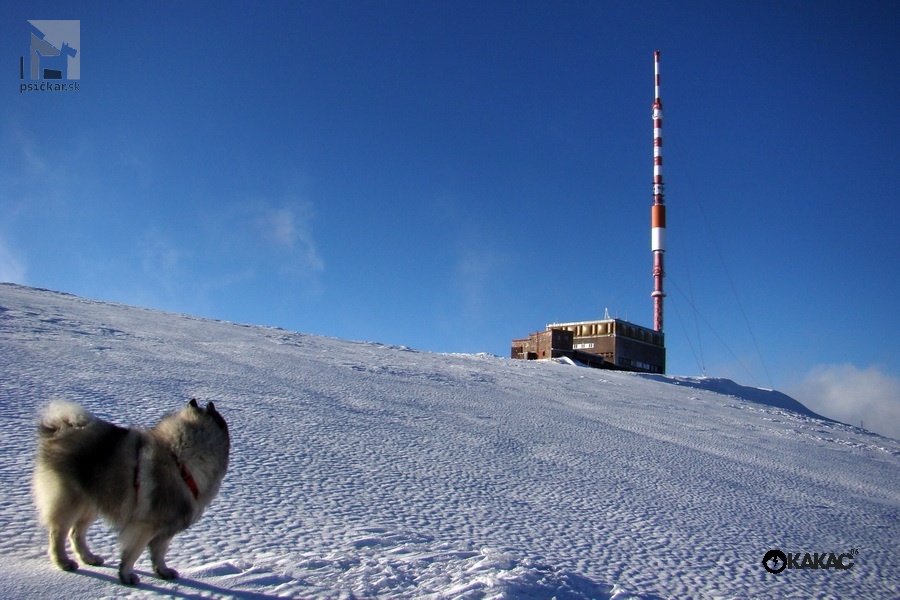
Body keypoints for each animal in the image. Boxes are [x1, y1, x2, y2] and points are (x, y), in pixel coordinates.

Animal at [34, 400, 232, 584]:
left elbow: (160, 553)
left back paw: (89, 558)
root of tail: (61, 429)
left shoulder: (164, 529)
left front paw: (163, 571)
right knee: (58, 533)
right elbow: (133, 553)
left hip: (93, 502)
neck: (180, 462)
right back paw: (63, 562)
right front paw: (127, 575)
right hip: (71, 501)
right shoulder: (145, 525)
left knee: (76, 533)